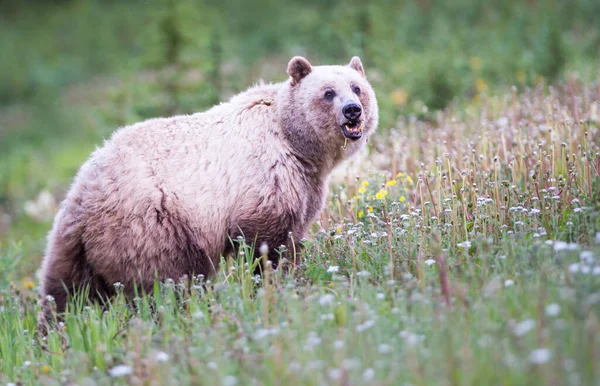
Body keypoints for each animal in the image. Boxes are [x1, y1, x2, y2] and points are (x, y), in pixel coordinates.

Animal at [39, 55, 380, 318]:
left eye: (357, 88)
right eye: (328, 92)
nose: (352, 110)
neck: (298, 145)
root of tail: (83, 193)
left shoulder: (306, 186)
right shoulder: (265, 180)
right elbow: (268, 244)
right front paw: (276, 283)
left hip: (75, 246)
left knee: (65, 292)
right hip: (153, 226)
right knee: (169, 280)